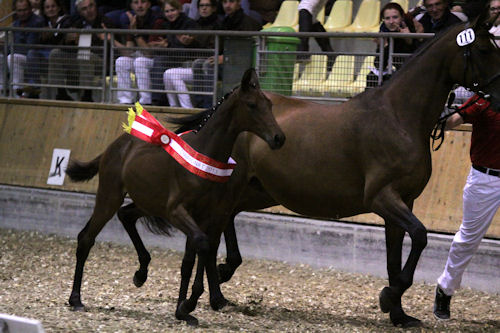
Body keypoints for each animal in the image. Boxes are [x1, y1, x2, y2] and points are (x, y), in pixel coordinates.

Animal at [64, 68, 286, 324]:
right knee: (86, 238)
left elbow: (193, 258)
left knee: (125, 216)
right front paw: (188, 305)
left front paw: (183, 310)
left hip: (149, 202)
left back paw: (141, 273)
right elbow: (202, 246)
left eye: (269, 104)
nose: (279, 138)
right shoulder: (178, 211)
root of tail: (114, 147)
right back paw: (76, 299)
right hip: (110, 197)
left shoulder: (205, 215)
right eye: (251, 105)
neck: (205, 154)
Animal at [162, 7, 500, 326]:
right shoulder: (382, 198)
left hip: (257, 190)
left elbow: (396, 258)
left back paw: (220, 291)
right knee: (215, 230)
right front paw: (388, 297)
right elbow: (419, 236)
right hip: (234, 187)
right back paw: (214, 291)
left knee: (224, 223)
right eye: (484, 49)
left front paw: (399, 314)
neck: (398, 117)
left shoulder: (404, 201)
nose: (497, 95)